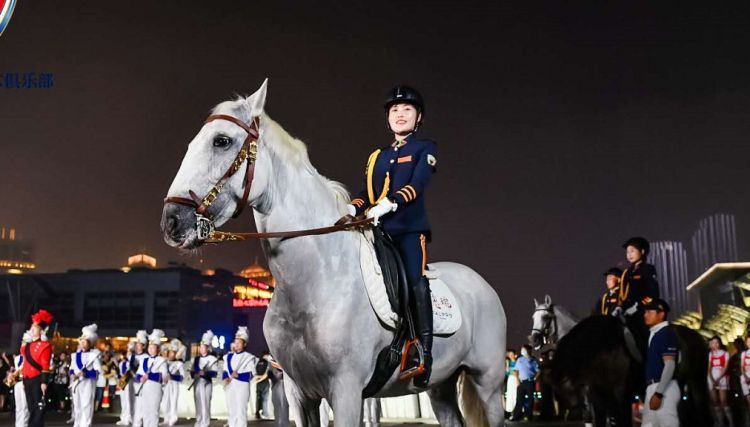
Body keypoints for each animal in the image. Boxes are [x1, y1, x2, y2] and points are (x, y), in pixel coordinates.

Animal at [162, 79, 508, 424]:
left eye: (221, 141)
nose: (172, 221)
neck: (315, 279)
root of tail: (480, 283)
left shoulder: (346, 391)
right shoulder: (300, 394)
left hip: (488, 383)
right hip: (441, 385)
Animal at [548, 314, 712, 427]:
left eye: (568, 384)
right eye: (558, 392)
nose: (579, 415)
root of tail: (698, 336)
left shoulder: (622, 396)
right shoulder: (600, 399)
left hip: (697, 382)